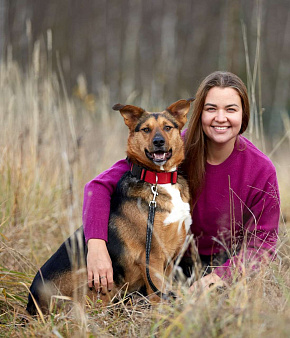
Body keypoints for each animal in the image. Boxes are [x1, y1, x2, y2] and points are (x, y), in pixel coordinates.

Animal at [26, 99, 193, 316]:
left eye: (167, 127)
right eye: (146, 129)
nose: (158, 142)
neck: (158, 179)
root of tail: (32, 303)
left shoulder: (171, 257)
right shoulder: (153, 257)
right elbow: (158, 292)